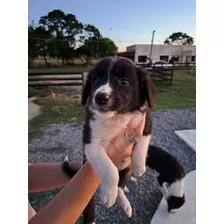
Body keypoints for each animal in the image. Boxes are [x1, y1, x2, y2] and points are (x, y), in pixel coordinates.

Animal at [80, 56, 154, 208]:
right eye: (96, 81)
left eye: (124, 82)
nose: (100, 97)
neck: (117, 117)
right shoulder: (90, 143)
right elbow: (110, 169)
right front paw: (108, 195)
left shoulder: (146, 122)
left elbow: (142, 145)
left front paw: (139, 167)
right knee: (119, 182)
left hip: (125, 170)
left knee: (121, 184)